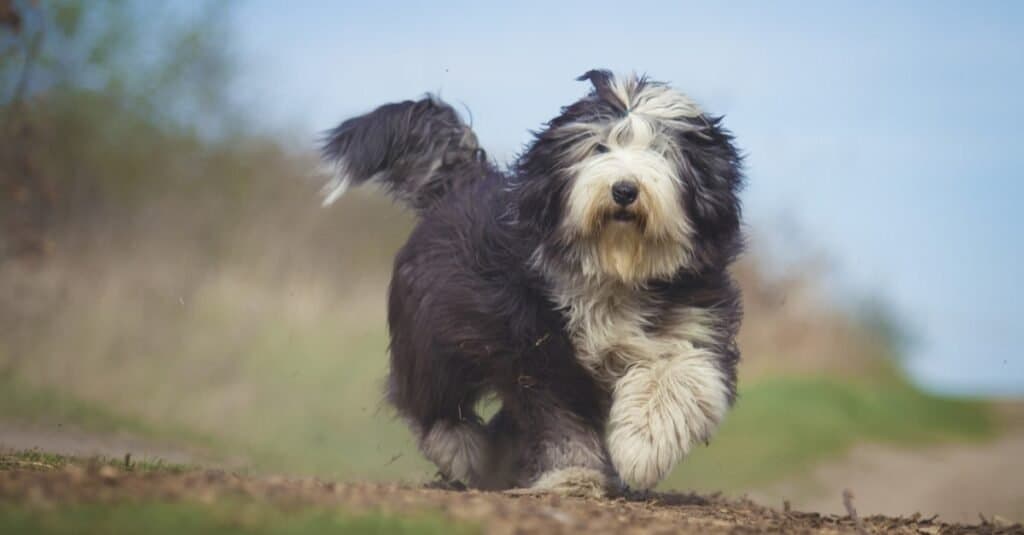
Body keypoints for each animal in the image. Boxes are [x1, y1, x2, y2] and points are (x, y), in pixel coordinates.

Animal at [319, 68, 745, 494]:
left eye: (660, 150)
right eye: (598, 147)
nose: (624, 189)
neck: (612, 271)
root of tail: (460, 185)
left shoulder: (693, 320)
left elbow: (681, 374)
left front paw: (643, 446)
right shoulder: (538, 349)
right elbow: (559, 420)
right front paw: (574, 473)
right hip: (431, 331)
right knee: (431, 400)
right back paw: (463, 450)